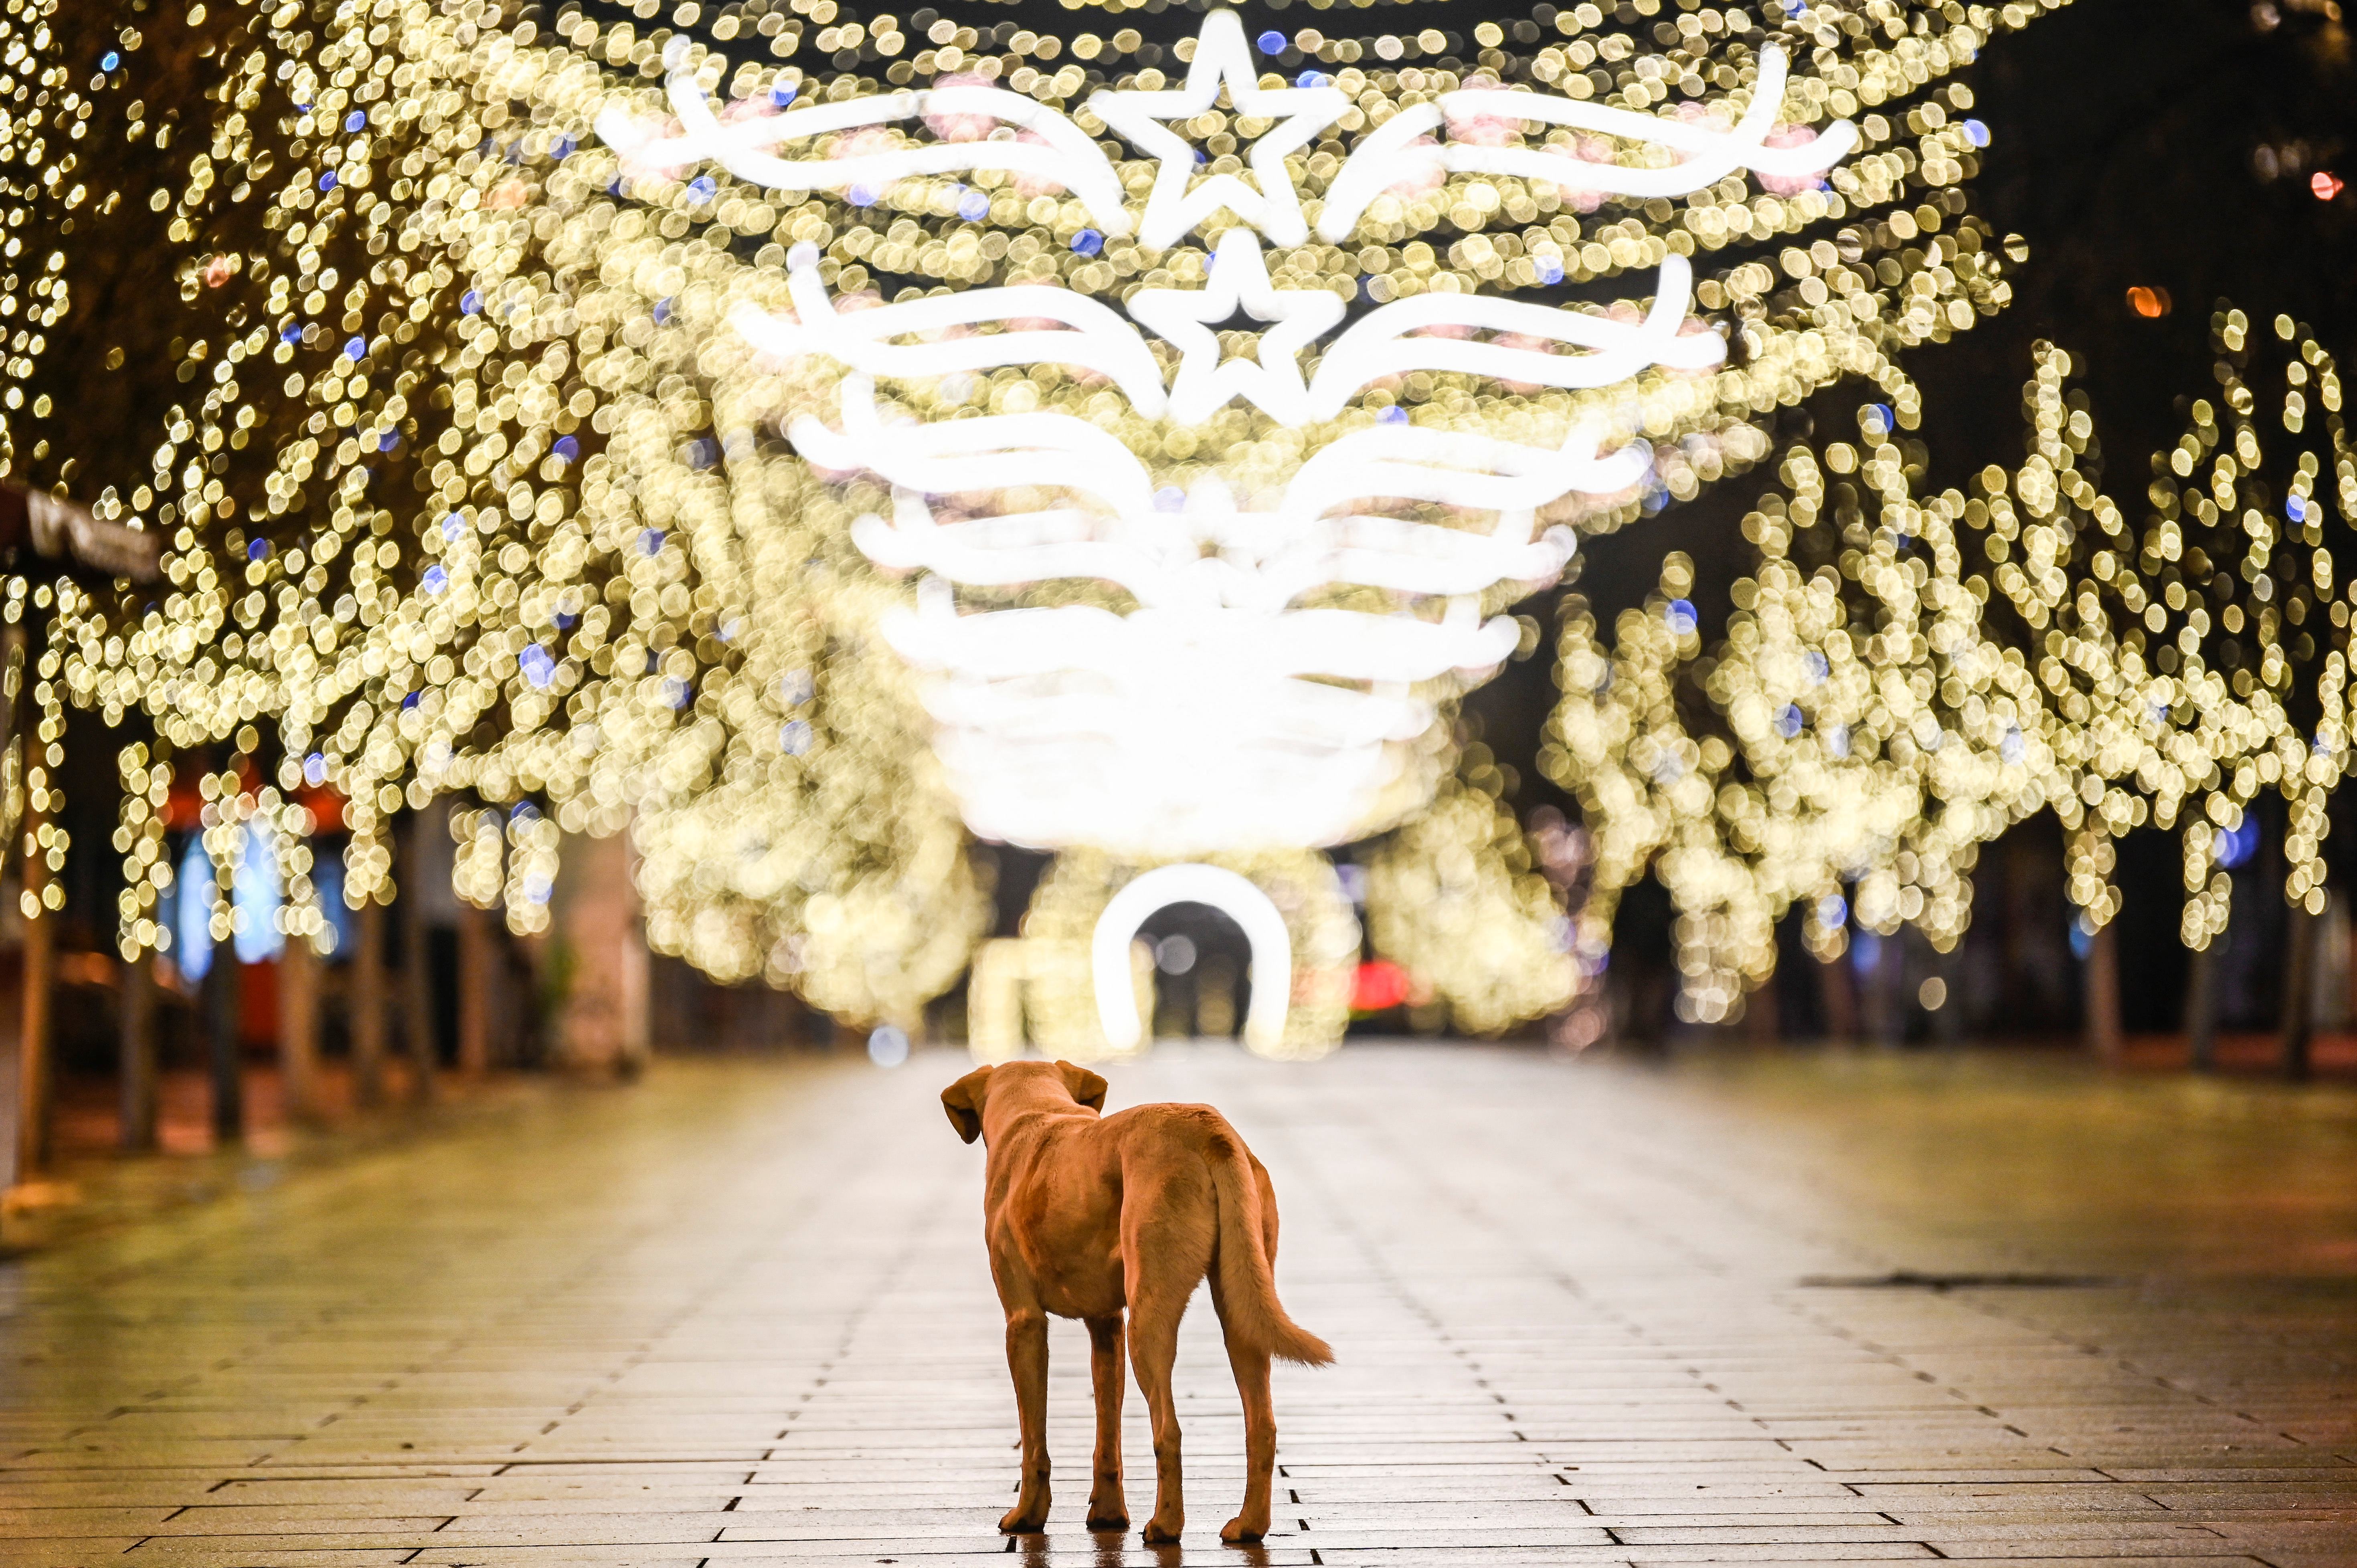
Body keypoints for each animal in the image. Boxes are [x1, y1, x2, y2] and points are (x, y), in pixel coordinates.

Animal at [947, 1056, 1339, 1537]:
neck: (1036, 1111)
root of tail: (1210, 1129)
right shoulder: (1107, 1326)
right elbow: (1107, 1436)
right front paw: (1107, 1515)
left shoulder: (1024, 1324)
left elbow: (1033, 1438)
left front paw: (1027, 1517)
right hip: (1240, 1313)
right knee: (1260, 1426)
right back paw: (1248, 1524)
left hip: (1148, 1323)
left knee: (1168, 1430)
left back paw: (1166, 1524)